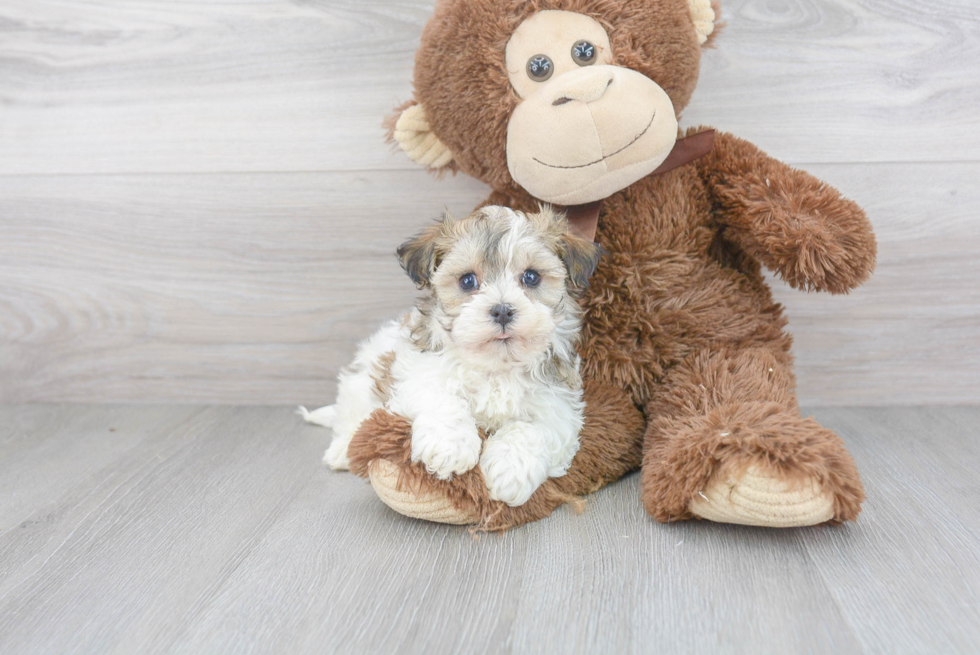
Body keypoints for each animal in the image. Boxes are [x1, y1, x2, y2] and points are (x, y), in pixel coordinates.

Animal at [302, 205, 600, 508]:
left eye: (531, 277)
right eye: (467, 281)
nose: (502, 310)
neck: (496, 365)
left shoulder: (559, 406)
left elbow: (533, 430)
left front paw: (509, 471)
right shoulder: (417, 375)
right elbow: (443, 400)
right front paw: (450, 447)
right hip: (362, 381)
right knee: (351, 416)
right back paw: (342, 450)